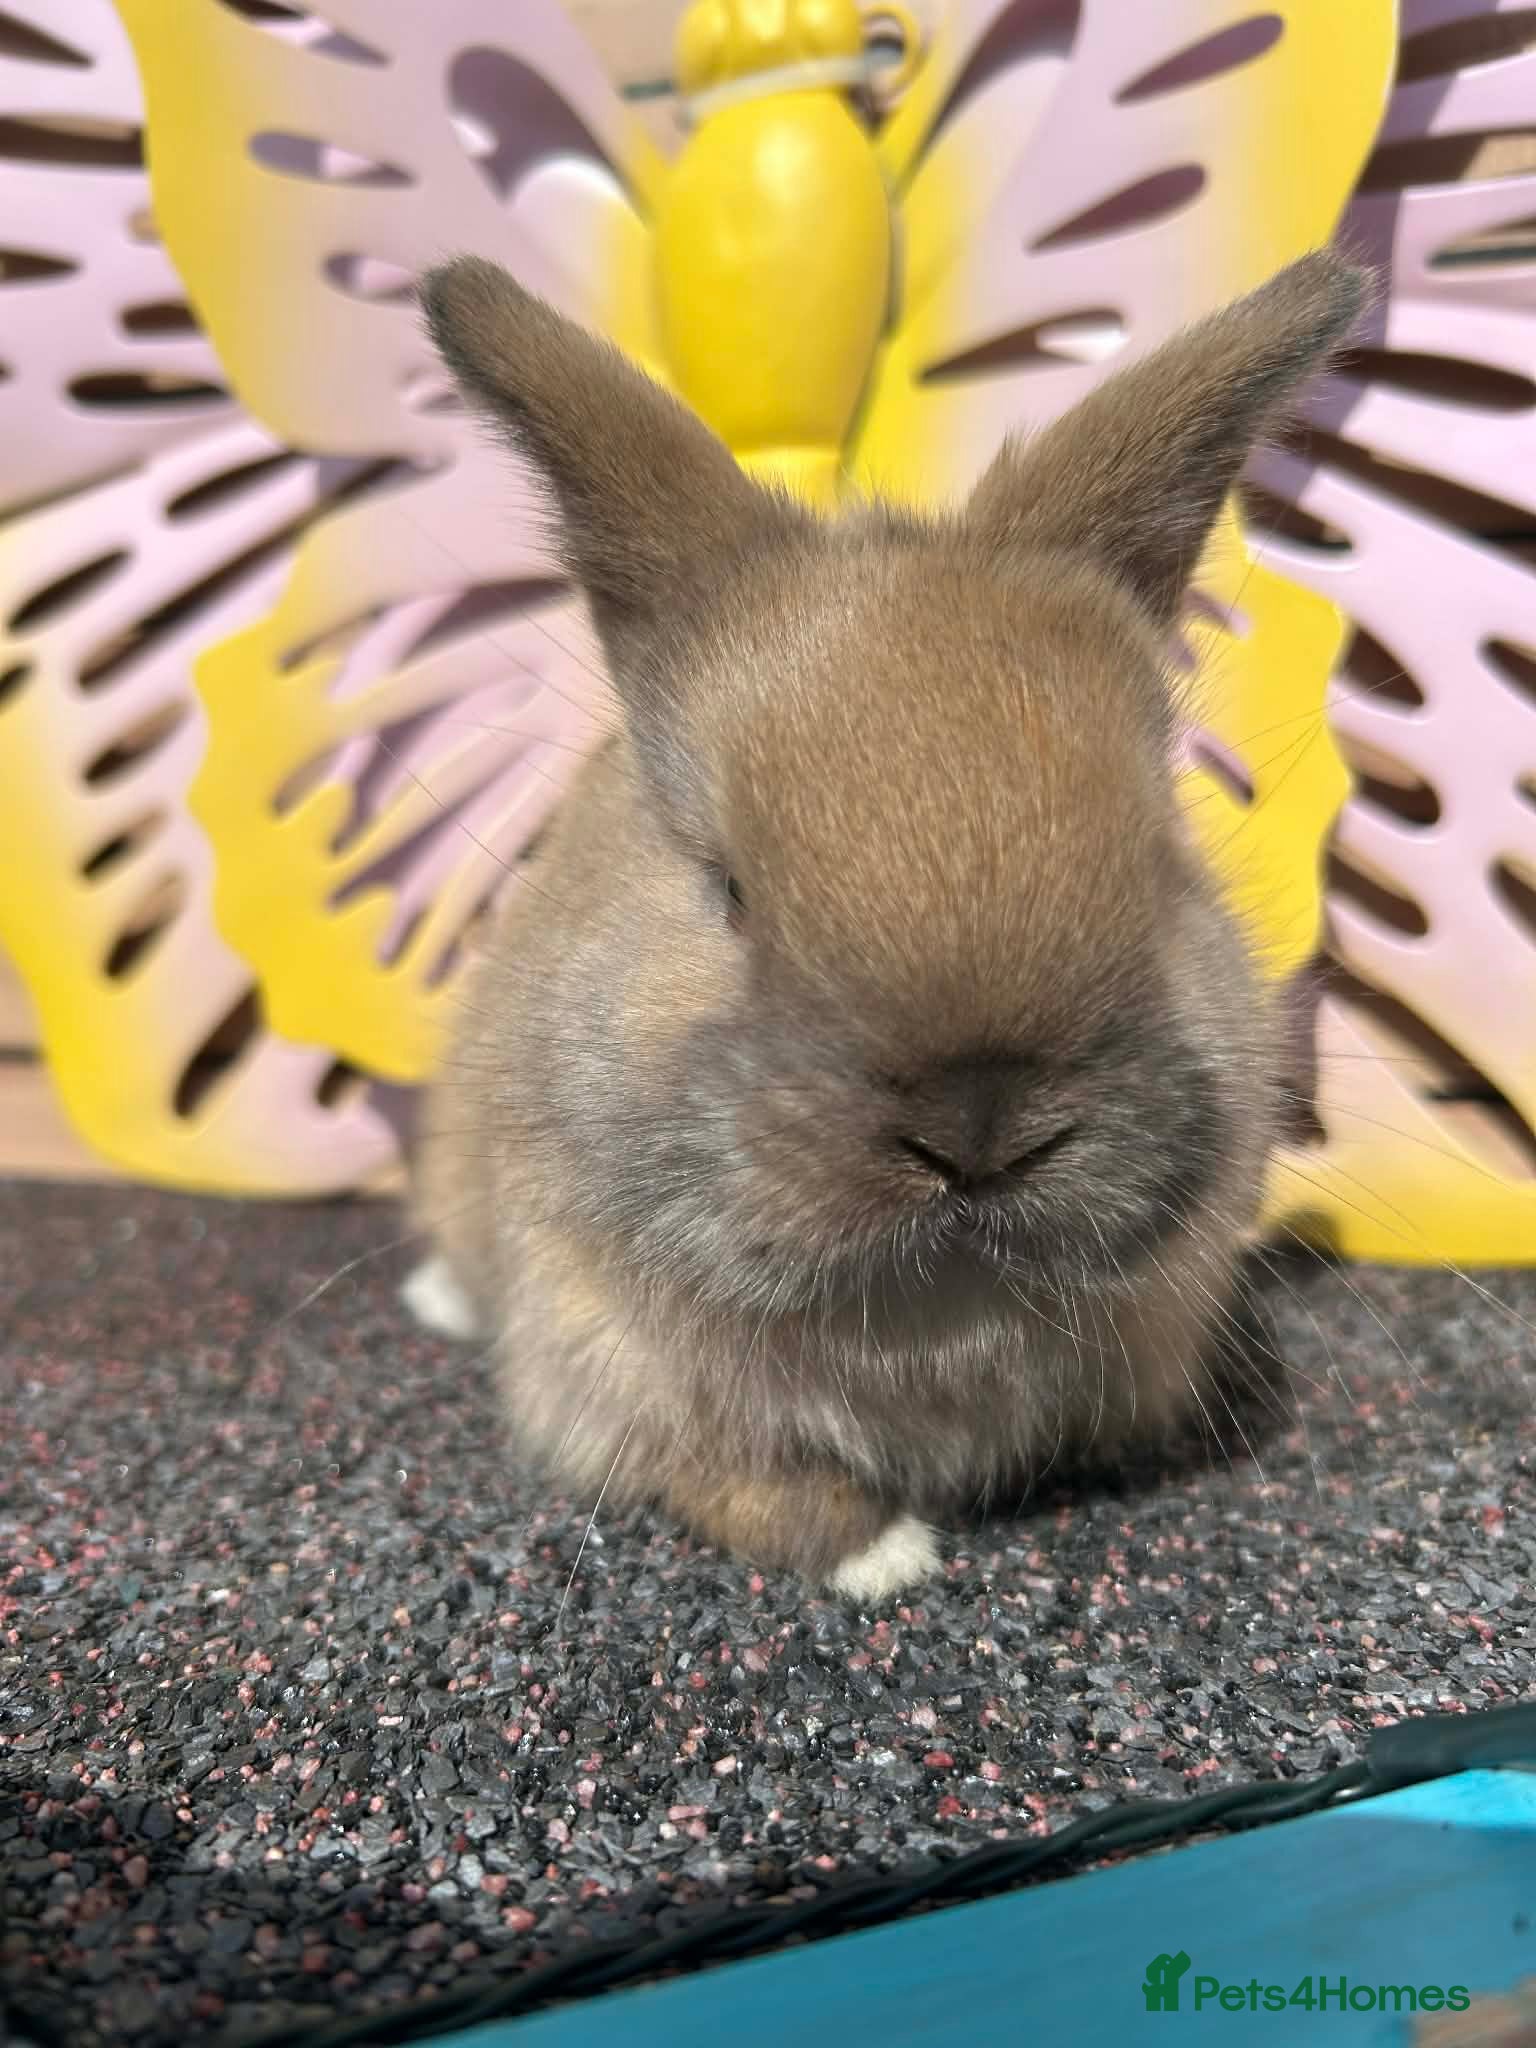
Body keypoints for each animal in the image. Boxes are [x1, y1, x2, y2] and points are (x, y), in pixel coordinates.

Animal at [406, 248, 1368, 1602]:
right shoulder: (605, 1363)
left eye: (1158, 860)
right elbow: (749, 1491)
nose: (979, 1128)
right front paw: (887, 1557)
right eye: (727, 887)